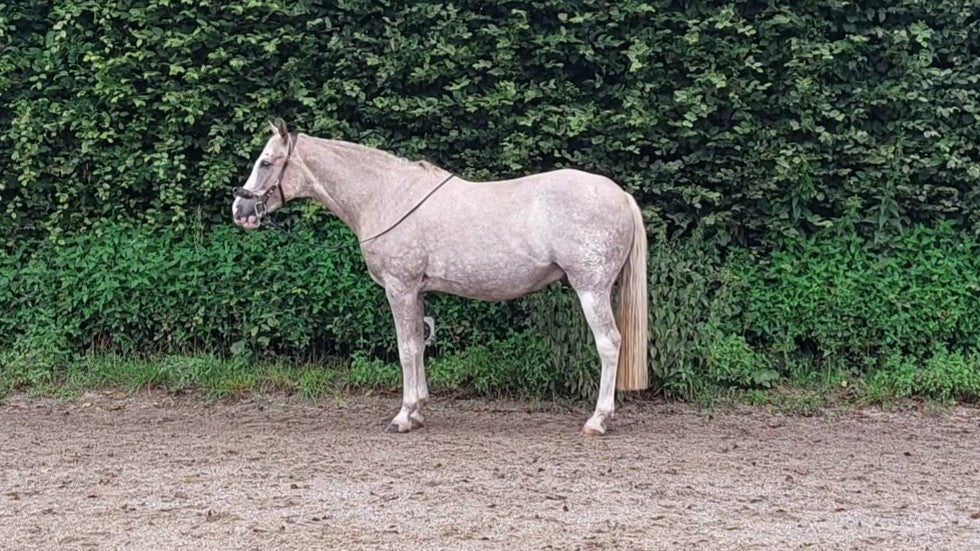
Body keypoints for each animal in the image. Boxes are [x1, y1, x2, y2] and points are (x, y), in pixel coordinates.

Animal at [232, 121, 648, 435]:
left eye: (266, 162)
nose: (240, 210)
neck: (387, 196)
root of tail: (620, 194)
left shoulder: (399, 288)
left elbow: (405, 349)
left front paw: (403, 416)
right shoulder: (415, 291)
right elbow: (419, 345)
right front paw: (418, 411)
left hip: (591, 289)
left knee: (609, 344)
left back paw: (598, 420)